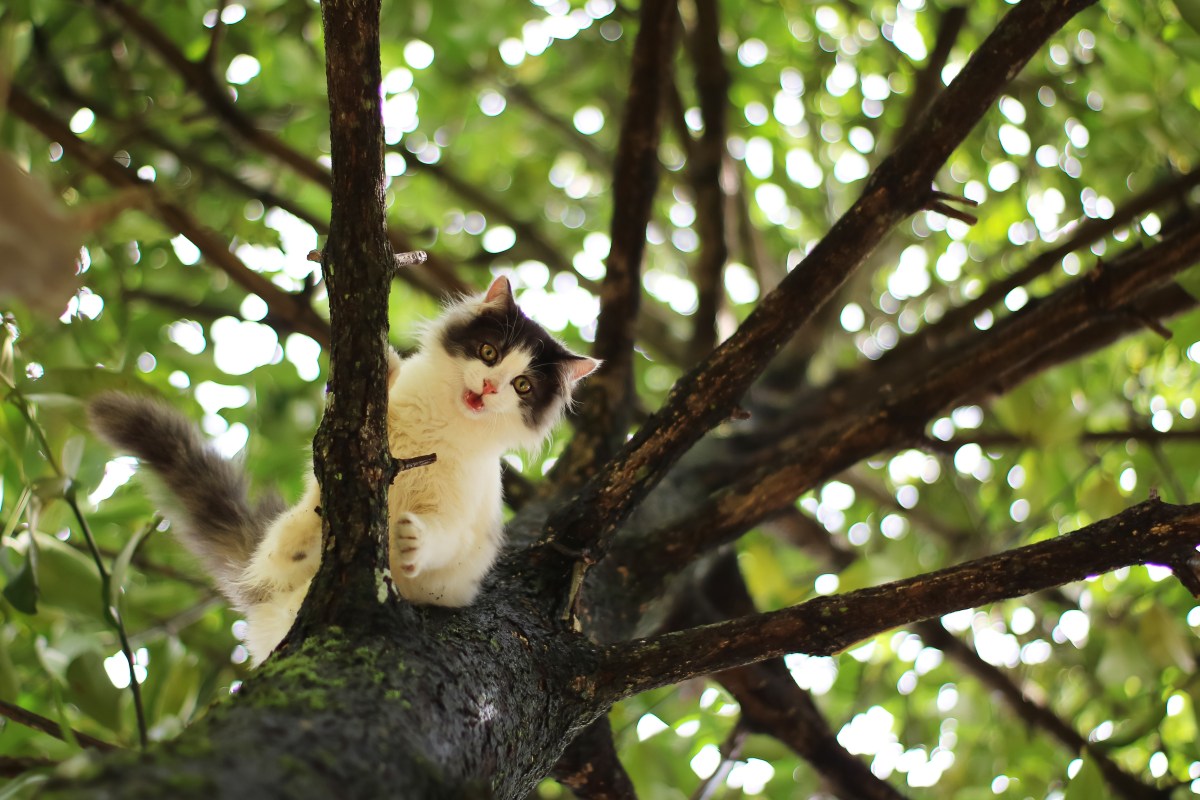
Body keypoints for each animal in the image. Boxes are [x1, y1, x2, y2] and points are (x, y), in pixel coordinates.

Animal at [91, 278, 597, 666]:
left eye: (522, 385)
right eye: (489, 352)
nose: (490, 387)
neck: (439, 424)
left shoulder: (464, 514)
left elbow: (444, 536)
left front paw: (414, 540)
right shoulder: (334, 447)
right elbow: (323, 470)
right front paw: (384, 359)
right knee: (286, 538)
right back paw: (293, 545)